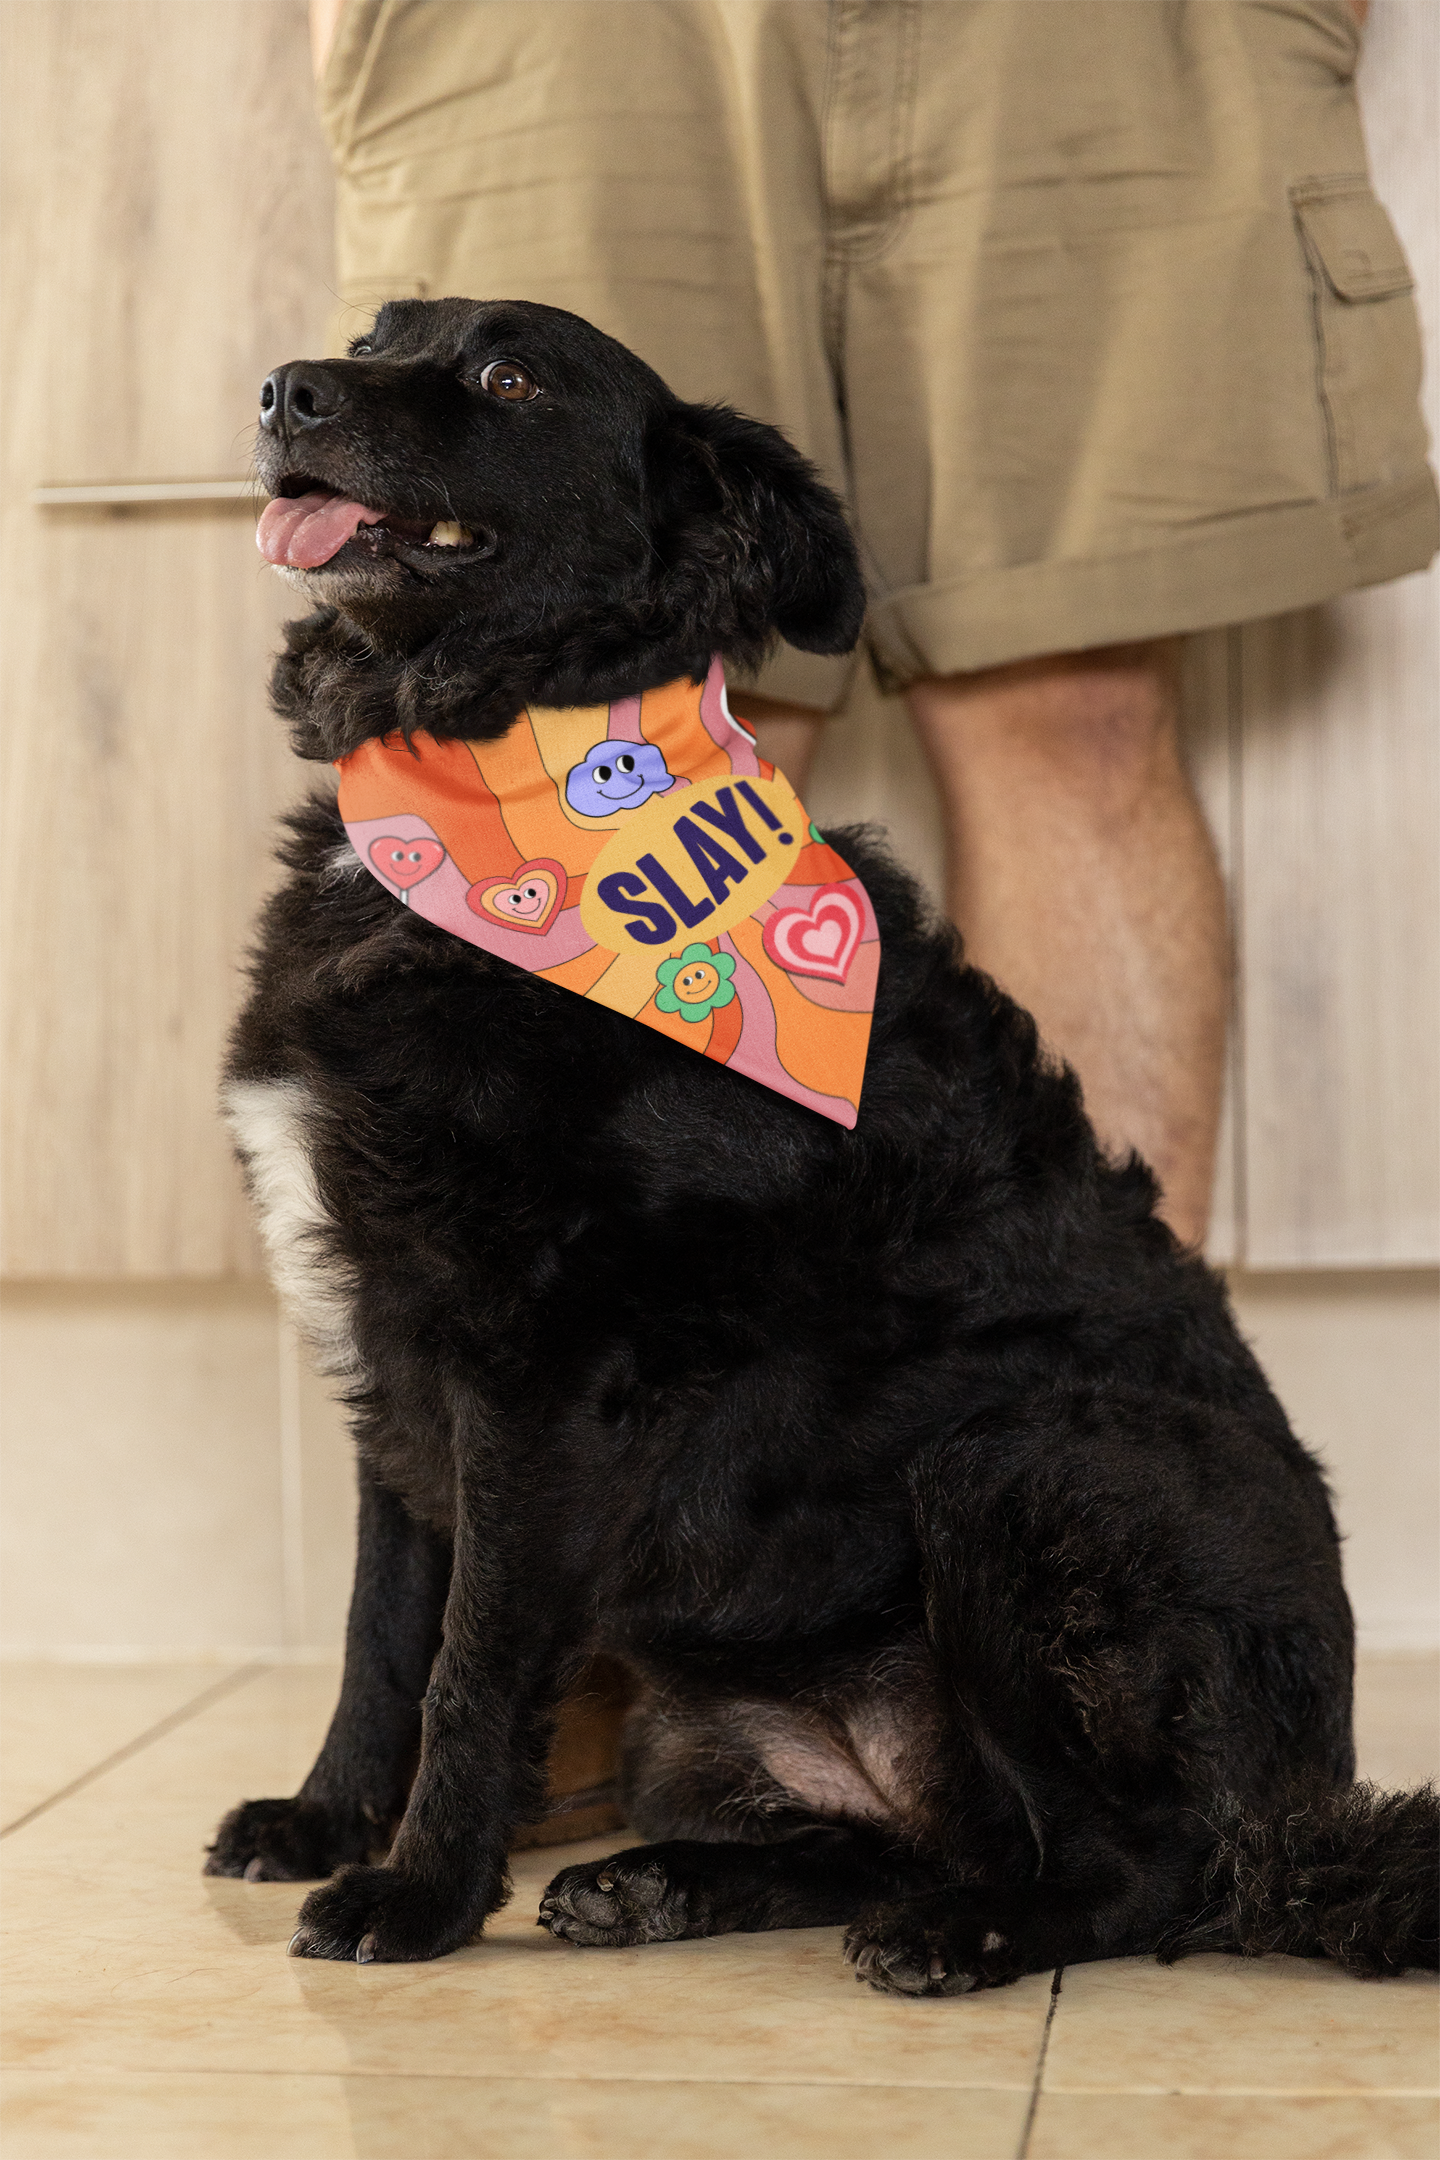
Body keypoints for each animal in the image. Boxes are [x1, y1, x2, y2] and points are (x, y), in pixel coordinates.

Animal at [208, 300, 1440, 1987]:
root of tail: (1304, 1811)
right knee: (896, 1837)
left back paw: (966, 1935)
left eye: (506, 377)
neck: (492, 779)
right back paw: (664, 1881)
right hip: (719, 1713)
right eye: (375, 331)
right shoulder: (390, 1342)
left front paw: (417, 1892)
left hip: (1029, 1466)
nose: (282, 391)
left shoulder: (527, 1372)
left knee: (1145, 1870)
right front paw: (326, 1819)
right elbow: (379, 1633)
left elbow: (468, 1659)